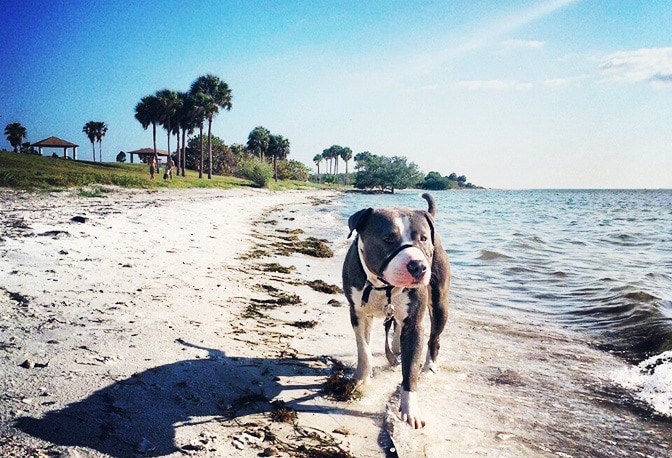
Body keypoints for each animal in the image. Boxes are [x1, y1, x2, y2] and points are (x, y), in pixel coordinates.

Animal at [344, 191, 448, 428]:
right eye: (388, 239)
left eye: (423, 238)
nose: (418, 266)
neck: (383, 286)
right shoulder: (358, 314)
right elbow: (363, 348)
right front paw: (361, 379)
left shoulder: (415, 325)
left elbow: (410, 370)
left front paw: (411, 410)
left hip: (440, 304)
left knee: (434, 338)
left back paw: (430, 365)